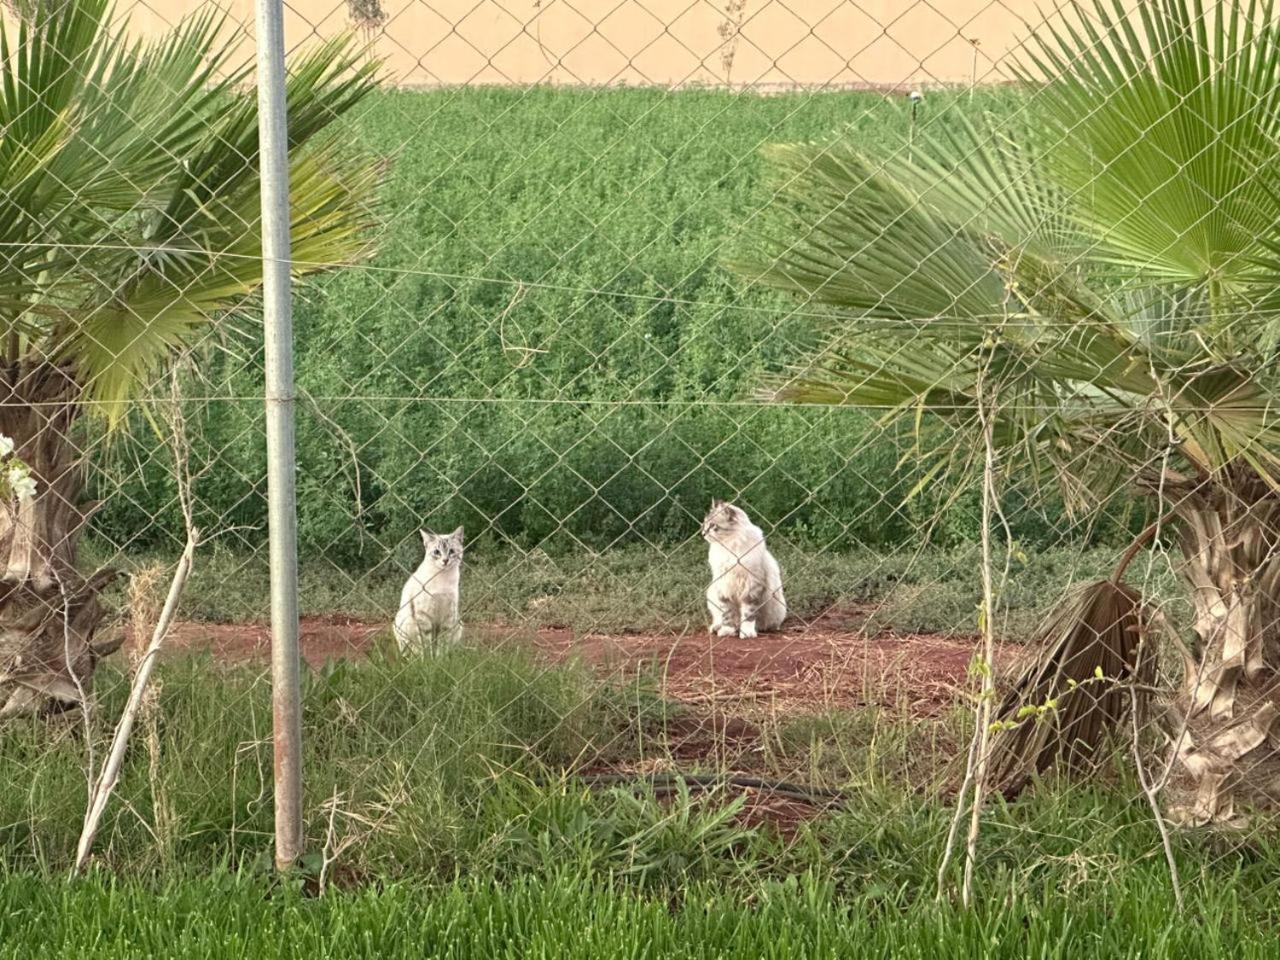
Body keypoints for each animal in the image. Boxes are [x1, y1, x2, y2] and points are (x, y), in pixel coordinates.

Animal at [396, 527, 468, 655]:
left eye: (451, 551)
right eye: (437, 552)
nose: (445, 560)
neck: (442, 578)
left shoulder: (447, 615)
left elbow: (442, 642)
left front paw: (440, 658)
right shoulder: (423, 615)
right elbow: (426, 644)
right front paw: (429, 659)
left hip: (458, 623)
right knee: (409, 651)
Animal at [706, 499, 783, 642]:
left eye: (712, 525)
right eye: (704, 524)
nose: (703, 533)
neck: (730, 546)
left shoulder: (752, 586)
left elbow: (748, 615)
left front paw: (746, 633)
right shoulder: (723, 585)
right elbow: (727, 614)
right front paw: (727, 631)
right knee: (720, 619)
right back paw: (717, 628)